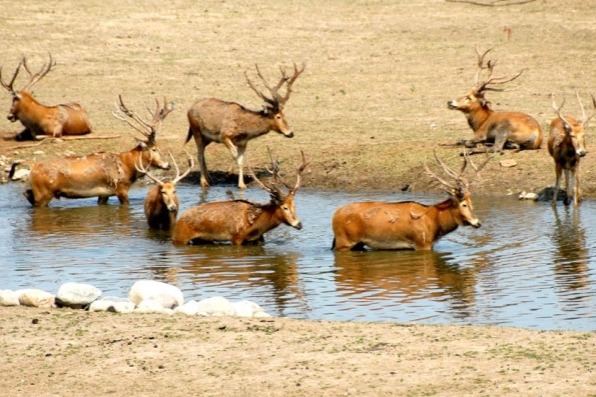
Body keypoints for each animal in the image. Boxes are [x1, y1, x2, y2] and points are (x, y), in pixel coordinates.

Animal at [23, 95, 172, 207]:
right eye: (154, 149)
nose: (167, 165)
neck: (128, 167)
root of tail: (32, 170)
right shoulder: (121, 188)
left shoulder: (104, 193)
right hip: (43, 193)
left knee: (27, 194)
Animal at [172, 149, 310, 244]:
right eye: (285, 207)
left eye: (295, 206)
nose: (299, 224)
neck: (256, 226)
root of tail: (179, 219)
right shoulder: (236, 237)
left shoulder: (258, 239)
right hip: (180, 237)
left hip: (203, 240)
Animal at [330, 152, 488, 251]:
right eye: (464, 204)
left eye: (472, 203)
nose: (477, 223)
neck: (434, 222)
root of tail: (335, 215)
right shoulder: (421, 243)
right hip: (344, 241)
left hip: (358, 244)